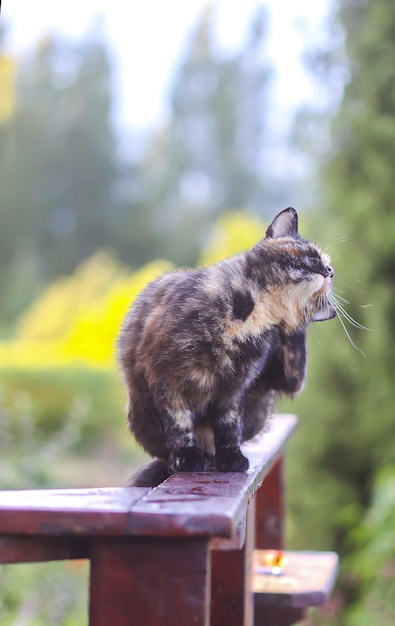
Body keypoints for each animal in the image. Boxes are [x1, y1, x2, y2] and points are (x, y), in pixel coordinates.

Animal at [118, 206, 338, 482]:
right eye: (313, 256)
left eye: (328, 267)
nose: (329, 271)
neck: (254, 315)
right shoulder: (165, 379)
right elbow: (178, 422)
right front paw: (187, 457)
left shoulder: (237, 388)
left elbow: (228, 424)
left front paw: (231, 457)